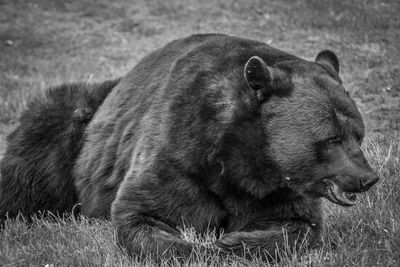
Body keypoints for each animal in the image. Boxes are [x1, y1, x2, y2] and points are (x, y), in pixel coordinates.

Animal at [0, 33, 378, 262]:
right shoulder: (177, 149)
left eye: (358, 134)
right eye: (332, 138)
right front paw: (196, 247)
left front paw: (232, 242)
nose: (368, 177)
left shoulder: (280, 188)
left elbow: (299, 226)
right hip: (71, 122)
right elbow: (141, 212)